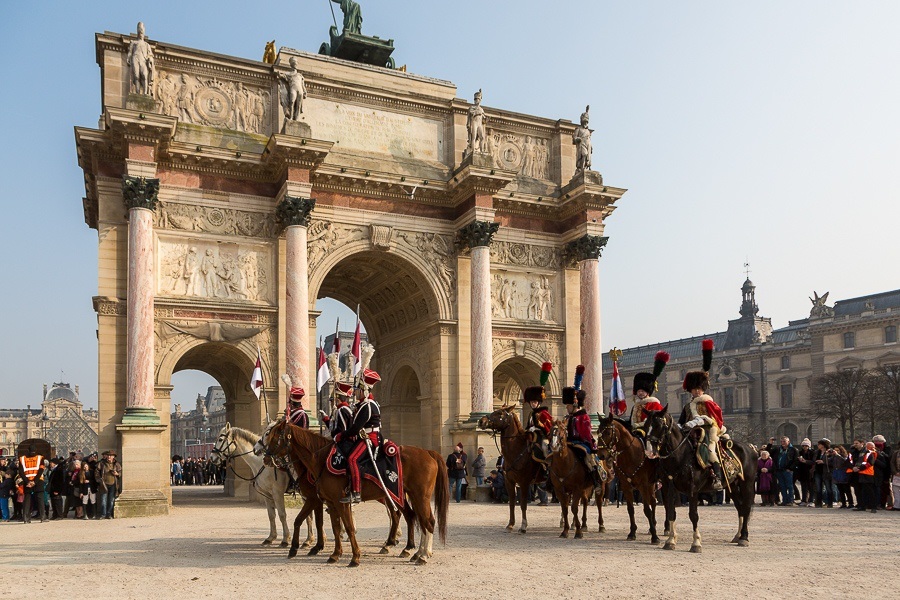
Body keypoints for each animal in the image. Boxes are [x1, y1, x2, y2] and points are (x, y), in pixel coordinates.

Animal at [260, 418, 446, 568]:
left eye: (273, 435)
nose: (265, 458)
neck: (320, 460)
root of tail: (427, 452)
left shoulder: (328, 501)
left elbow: (347, 527)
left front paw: (354, 557)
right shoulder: (329, 502)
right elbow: (333, 527)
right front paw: (334, 554)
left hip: (419, 496)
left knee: (426, 521)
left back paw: (421, 555)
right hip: (404, 496)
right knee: (412, 517)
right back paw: (412, 551)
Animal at [478, 408, 540, 536]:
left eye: (500, 413)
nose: (481, 421)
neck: (518, 451)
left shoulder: (524, 483)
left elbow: (523, 504)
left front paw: (523, 526)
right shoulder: (509, 482)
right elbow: (512, 503)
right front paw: (510, 525)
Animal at [596, 412, 660, 544]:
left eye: (608, 433)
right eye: (598, 431)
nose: (601, 455)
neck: (631, 453)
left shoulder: (643, 485)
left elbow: (647, 510)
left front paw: (655, 536)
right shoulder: (626, 486)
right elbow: (630, 509)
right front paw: (632, 532)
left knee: (654, 502)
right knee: (653, 502)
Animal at [644, 408, 756, 552]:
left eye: (659, 425)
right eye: (646, 425)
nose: (649, 451)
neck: (680, 455)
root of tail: (750, 447)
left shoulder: (693, 489)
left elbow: (693, 515)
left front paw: (696, 543)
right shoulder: (669, 488)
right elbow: (671, 513)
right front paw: (670, 541)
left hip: (747, 484)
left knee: (746, 507)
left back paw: (744, 537)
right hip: (732, 487)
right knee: (740, 508)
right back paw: (738, 535)